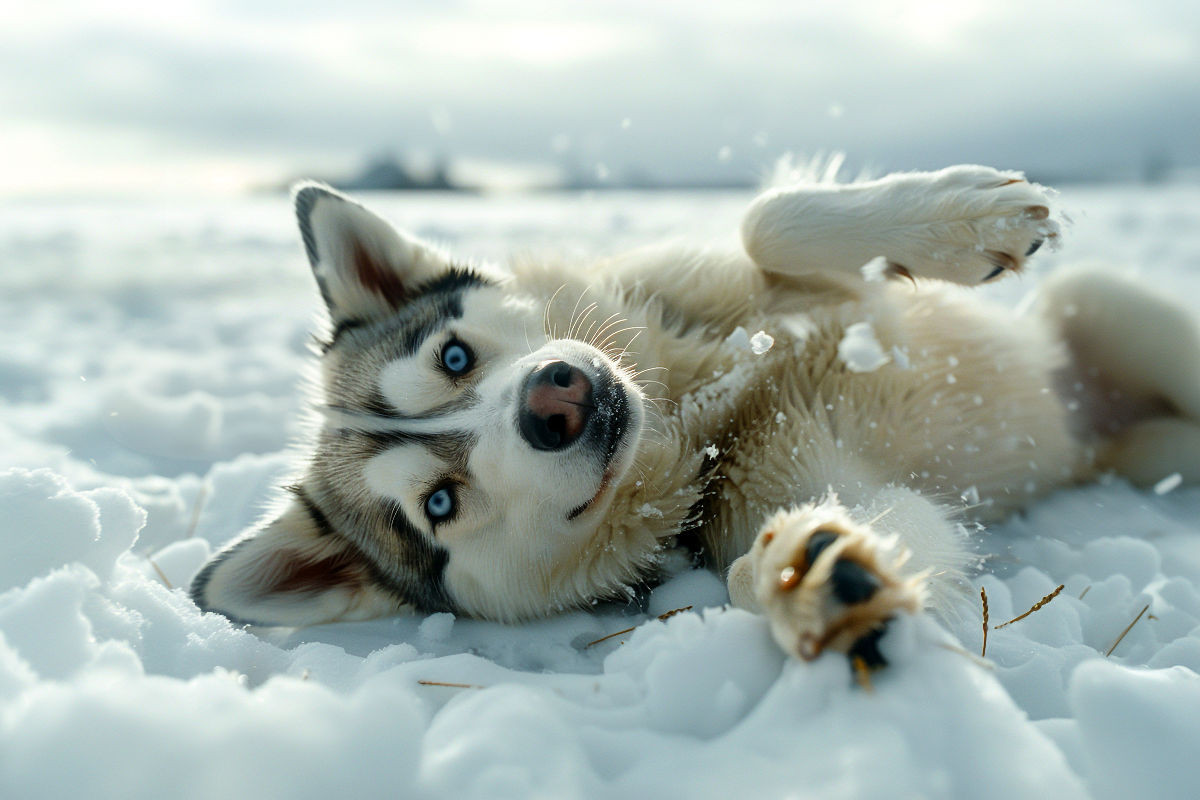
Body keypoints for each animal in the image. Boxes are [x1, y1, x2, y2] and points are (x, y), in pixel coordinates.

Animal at [189, 165, 1200, 666]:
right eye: (439, 503)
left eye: (453, 357)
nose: (555, 397)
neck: (701, 413)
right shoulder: (812, 492)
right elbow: (882, 539)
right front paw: (809, 579)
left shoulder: (793, 294)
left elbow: (768, 218)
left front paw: (962, 219)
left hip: (1102, 303)